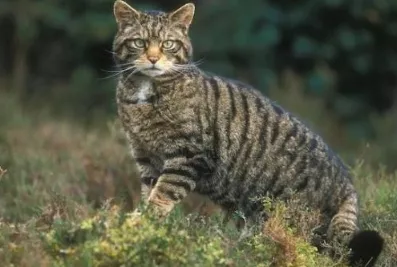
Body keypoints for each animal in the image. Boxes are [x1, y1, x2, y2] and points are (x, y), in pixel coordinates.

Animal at [112, 1, 384, 266]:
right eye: (139, 43)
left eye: (168, 43)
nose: (153, 58)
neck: (145, 95)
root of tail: (348, 187)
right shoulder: (145, 157)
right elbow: (149, 192)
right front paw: (140, 223)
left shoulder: (187, 156)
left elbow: (161, 195)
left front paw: (142, 224)